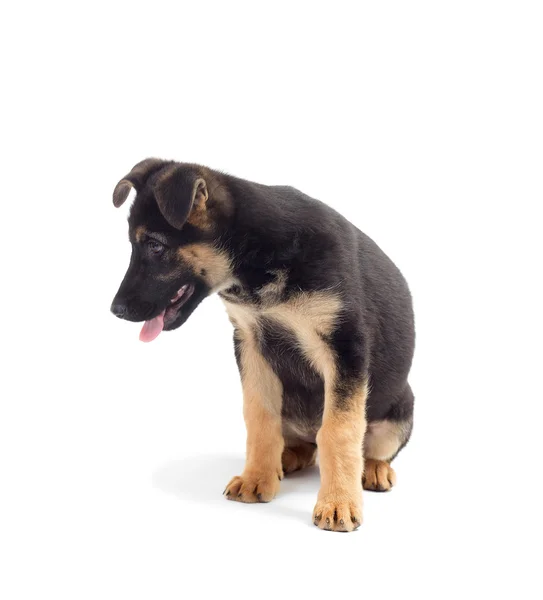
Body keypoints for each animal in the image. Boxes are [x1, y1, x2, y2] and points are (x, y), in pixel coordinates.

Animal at [111, 157, 416, 532]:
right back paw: (285, 459)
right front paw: (257, 477)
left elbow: (339, 430)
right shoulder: (251, 342)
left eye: (155, 246)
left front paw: (338, 503)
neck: (260, 258)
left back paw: (372, 468)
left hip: (401, 406)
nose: (115, 310)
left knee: (365, 445)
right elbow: (259, 417)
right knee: (303, 444)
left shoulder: (344, 346)